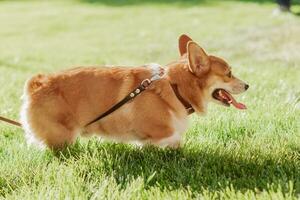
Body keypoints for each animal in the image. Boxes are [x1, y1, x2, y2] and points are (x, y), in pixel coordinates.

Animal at [19, 34, 248, 150]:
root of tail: (36, 83)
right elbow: (174, 141)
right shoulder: (162, 133)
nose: (247, 85)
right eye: (229, 73)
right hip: (62, 137)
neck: (175, 87)